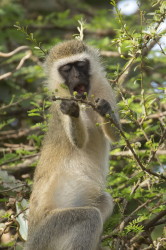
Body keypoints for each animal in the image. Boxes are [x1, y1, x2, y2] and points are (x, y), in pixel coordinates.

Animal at [24, 40, 120, 249]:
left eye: (81, 65)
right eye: (67, 69)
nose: (76, 76)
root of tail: (30, 241)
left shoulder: (104, 87)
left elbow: (116, 135)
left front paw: (104, 109)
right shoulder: (59, 100)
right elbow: (79, 141)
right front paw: (73, 111)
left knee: (104, 201)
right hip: (48, 232)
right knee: (90, 216)